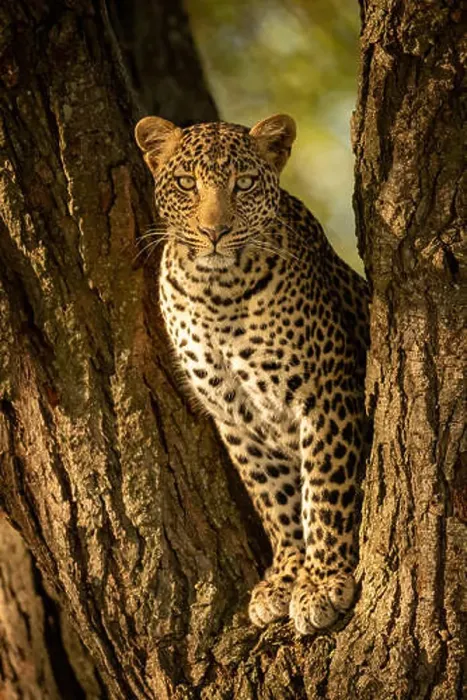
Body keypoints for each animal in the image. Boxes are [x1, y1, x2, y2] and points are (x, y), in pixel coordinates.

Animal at [135, 113, 370, 635]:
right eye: (187, 184)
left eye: (242, 184)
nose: (215, 232)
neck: (217, 290)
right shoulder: (235, 416)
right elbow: (275, 500)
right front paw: (285, 578)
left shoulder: (325, 392)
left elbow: (323, 490)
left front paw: (322, 581)